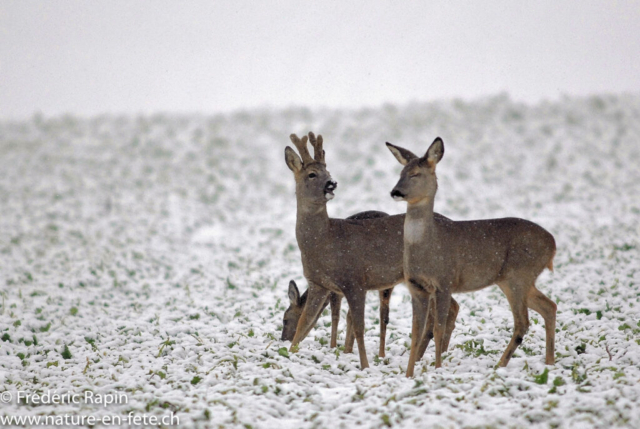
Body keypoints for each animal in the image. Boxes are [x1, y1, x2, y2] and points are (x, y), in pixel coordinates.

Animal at [284, 131, 460, 368]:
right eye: (312, 174)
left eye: (327, 172)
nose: (332, 183)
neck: (325, 241)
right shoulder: (318, 283)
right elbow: (305, 321)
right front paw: (288, 354)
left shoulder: (354, 280)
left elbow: (358, 327)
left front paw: (365, 365)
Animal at [384, 136, 556, 374]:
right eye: (400, 172)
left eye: (416, 174)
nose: (395, 192)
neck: (426, 247)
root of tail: (553, 244)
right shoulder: (416, 287)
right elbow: (416, 333)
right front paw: (409, 374)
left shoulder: (444, 281)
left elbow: (437, 329)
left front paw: (438, 369)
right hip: (512, 280)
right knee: (549, 307)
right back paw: (549, 363)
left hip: (519, 275)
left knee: (523, 321)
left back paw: (499, 366)